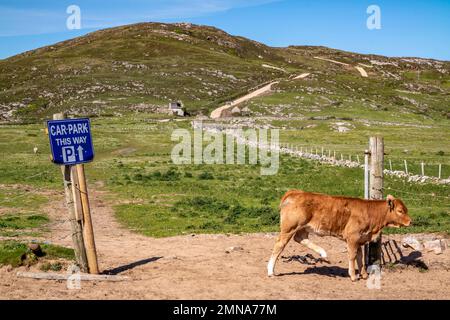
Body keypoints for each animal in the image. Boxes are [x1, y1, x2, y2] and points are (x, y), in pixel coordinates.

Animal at [268, 191, 412, 282]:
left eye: (406, 209)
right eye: (400, 211)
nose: (410, 221)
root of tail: (295, 192)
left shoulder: (360, 239)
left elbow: (360, 257)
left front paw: (364, 275)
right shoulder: (352, 238)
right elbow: (352, 256)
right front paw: (353, 276)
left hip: (302, 228)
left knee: (300, 238)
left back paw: (322, 252)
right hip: (289, 228)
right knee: (279, 246)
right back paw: (270, 271)